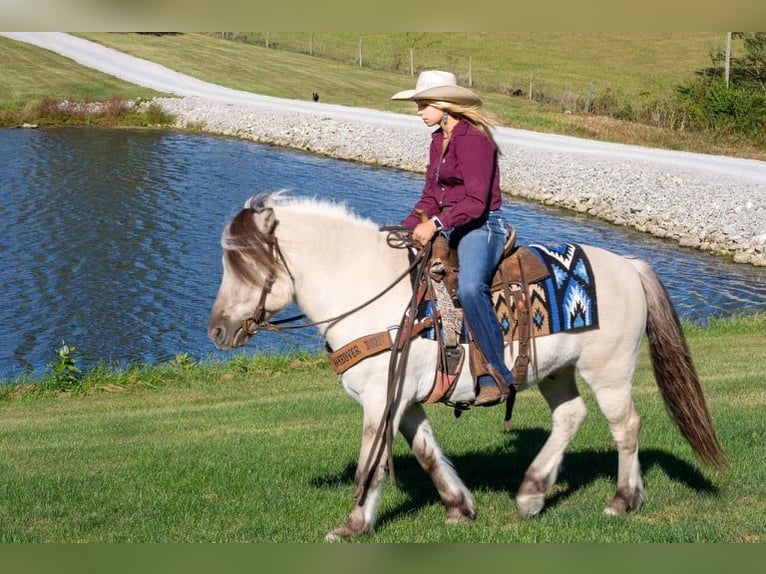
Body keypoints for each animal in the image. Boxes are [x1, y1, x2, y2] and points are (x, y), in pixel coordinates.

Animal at [208, 194, 728, 544]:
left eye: (245, 265)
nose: (217, 330)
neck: (372, 291)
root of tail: (628, 265)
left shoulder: (381, 399)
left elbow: (370, 464)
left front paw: (353, 525)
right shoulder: (406, 400)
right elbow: (426, 452)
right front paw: (459, 507)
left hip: (610, 372)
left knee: (626, 427)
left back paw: (623, 500)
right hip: (558, 371)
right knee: (570, 417)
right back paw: (533, 493)